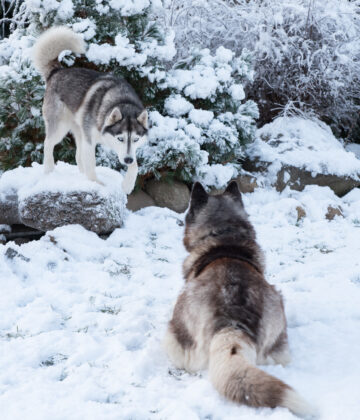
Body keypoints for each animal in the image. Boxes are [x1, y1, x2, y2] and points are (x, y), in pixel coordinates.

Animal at [32, 27, 148, 194]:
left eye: (136, 139)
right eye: (120, 138)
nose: (127, 160)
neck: (121, 100)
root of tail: (57, 71)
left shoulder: (128, 151)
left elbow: (135, 166)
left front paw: (127, 185)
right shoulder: (90, 141)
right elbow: (92, 164)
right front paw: (97, 184)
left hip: (79, 132)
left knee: (78, 156)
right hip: (61, 129)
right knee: (48, 144)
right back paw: (49, 170)